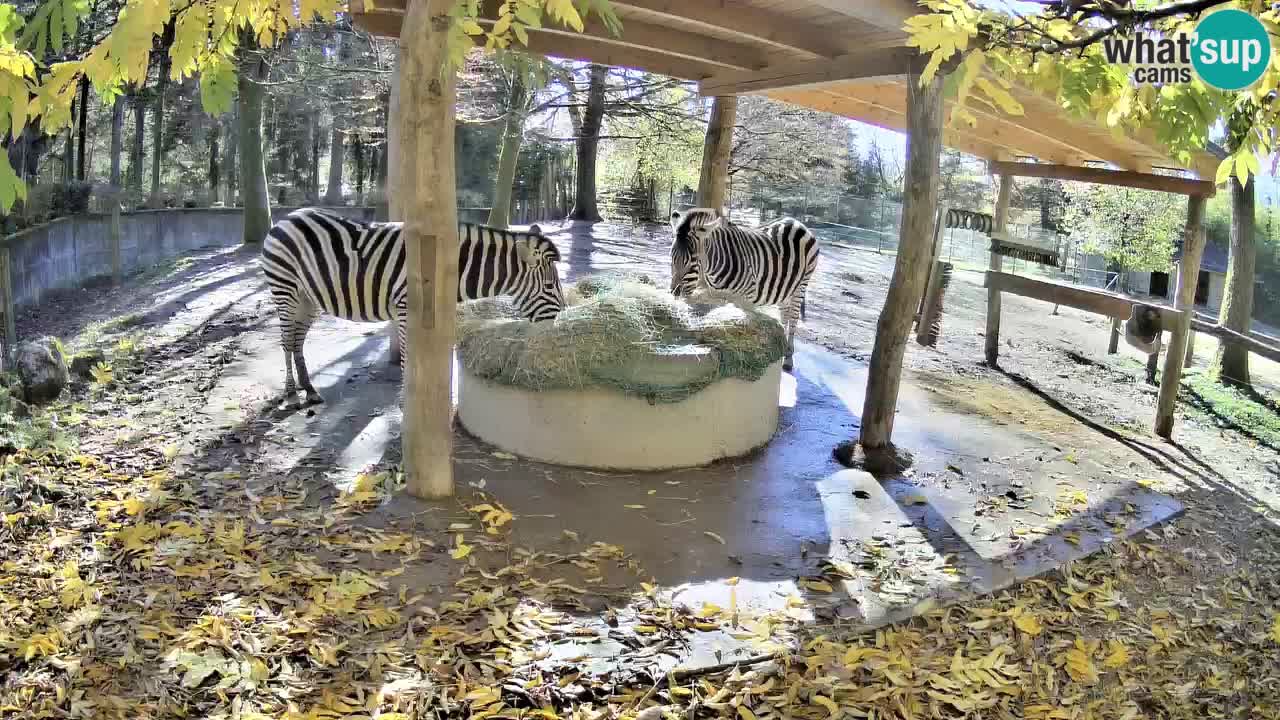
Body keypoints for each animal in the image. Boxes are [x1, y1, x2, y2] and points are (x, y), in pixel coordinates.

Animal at [261, 207, 564, 408]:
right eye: (550, 286)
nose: (558, 323)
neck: (451, 268)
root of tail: (287, 217)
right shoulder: (407, 309)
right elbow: (408, 356)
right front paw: (407, 404)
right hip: (285, 290)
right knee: (286, 340)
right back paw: (291, 394)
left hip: (308, 298)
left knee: (297, 341)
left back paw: (309, 389)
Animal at [669, 208, 819, 372]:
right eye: (672, 258)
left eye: (692, 262)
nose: (674, 293)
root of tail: (796, 222)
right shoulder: (715, 294)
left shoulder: (747, 298)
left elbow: (746, 322)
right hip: (785, 288)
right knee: (785, 315)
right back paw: (784, 344)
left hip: (801, 286)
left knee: (793, 320)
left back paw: (788, 358)